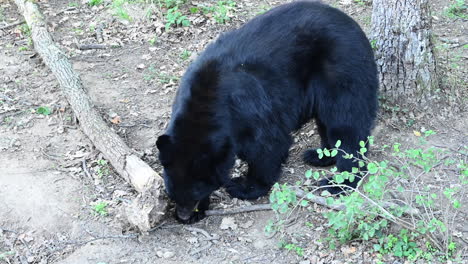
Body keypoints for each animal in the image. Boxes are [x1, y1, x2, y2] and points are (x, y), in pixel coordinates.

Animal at [155, 1, 378, 223]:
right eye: (172, 194)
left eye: (195, 193)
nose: (183, 216)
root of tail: (355, 27)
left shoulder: (248, 110)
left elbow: (266, 146)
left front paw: (243, 186)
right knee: (328, 123)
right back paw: (318, 156)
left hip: (343, 71)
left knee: (346, 124)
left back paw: (338, 183)